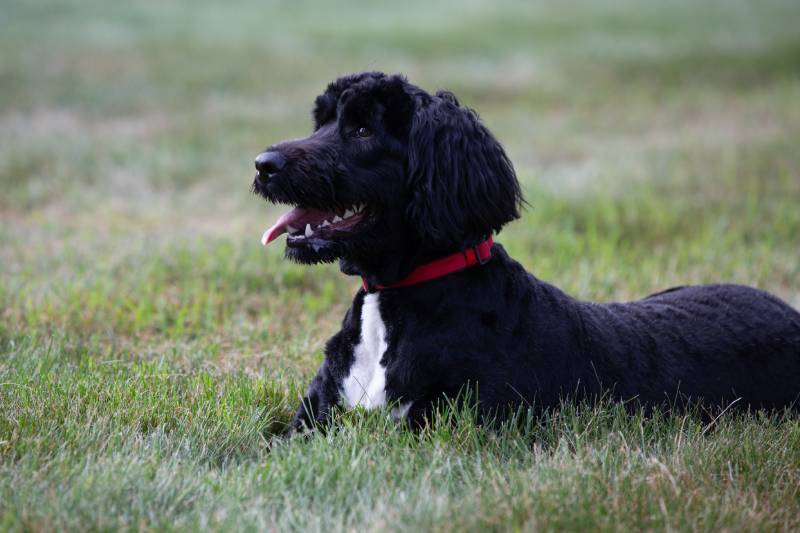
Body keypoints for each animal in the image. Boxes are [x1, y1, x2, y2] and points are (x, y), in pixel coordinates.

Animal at [252, 70, 800, 430]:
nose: (264, 163)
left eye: (363, 129)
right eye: (321, 121)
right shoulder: (308, 425)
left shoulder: (445, 426)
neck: (396, 300)